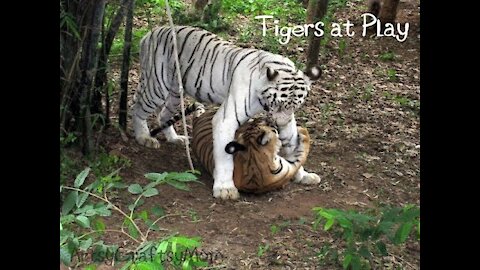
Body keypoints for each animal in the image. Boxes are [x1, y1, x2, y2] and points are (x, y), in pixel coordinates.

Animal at [130, 25, 322, 198]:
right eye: (278, 104)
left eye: (295, 107)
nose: (279, 124)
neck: (263, 100)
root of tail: (150, 33)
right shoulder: (226, 119)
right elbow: (224, 156)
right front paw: (225, 189)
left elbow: (294, 148)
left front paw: (303, 175)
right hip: (157, 86)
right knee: (137, 108)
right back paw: (144, 137)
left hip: (176, 93)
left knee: (163, 114)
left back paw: (175, 138)